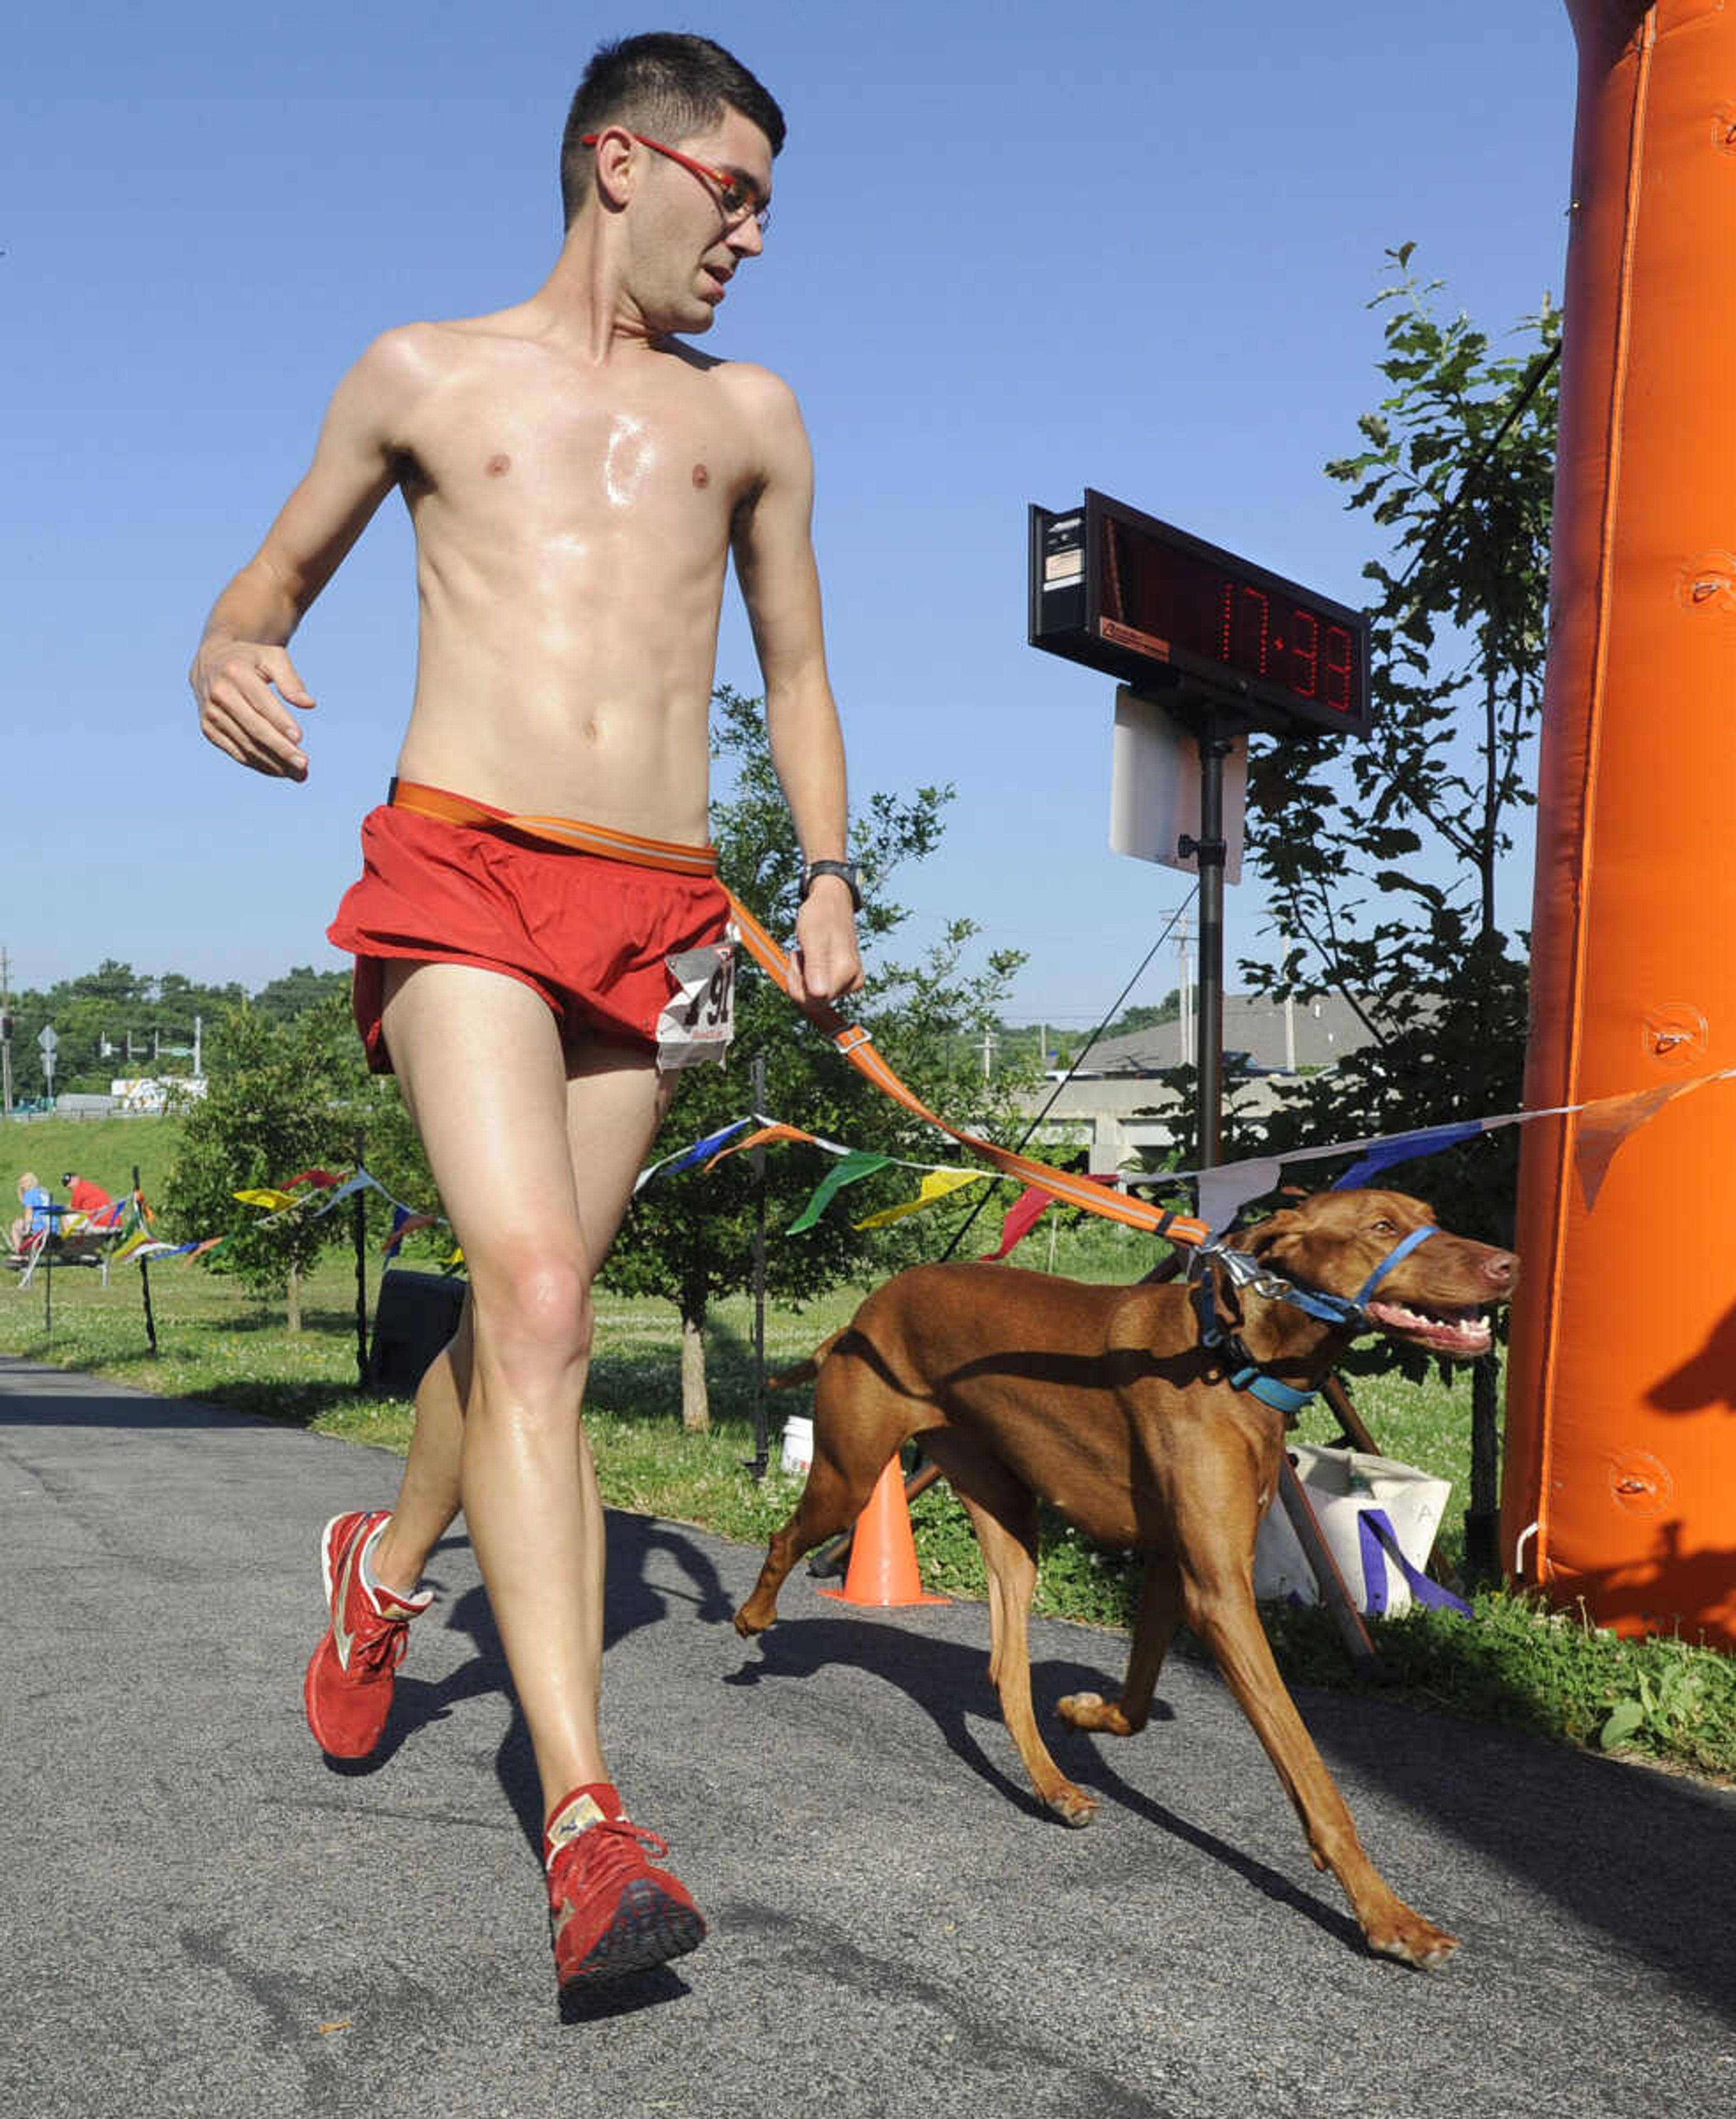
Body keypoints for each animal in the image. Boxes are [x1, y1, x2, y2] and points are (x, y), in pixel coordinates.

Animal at [733, 1195, 1518, 1966]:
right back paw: (752, 1618)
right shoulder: (1219, 1593)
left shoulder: (1177, 1566)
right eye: (1382, 1227)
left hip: (1008, 1517)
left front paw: (1088, 1714)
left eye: (1433, 1217)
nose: (1508, 1264)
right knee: (784, 1539)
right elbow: (1309, 1769)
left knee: (1006, 1669)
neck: (1230, 1355)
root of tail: (865, 1314)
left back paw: (1053, 1786)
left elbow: (1137, 1705)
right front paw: (1389, 1916)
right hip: (851, 1476)